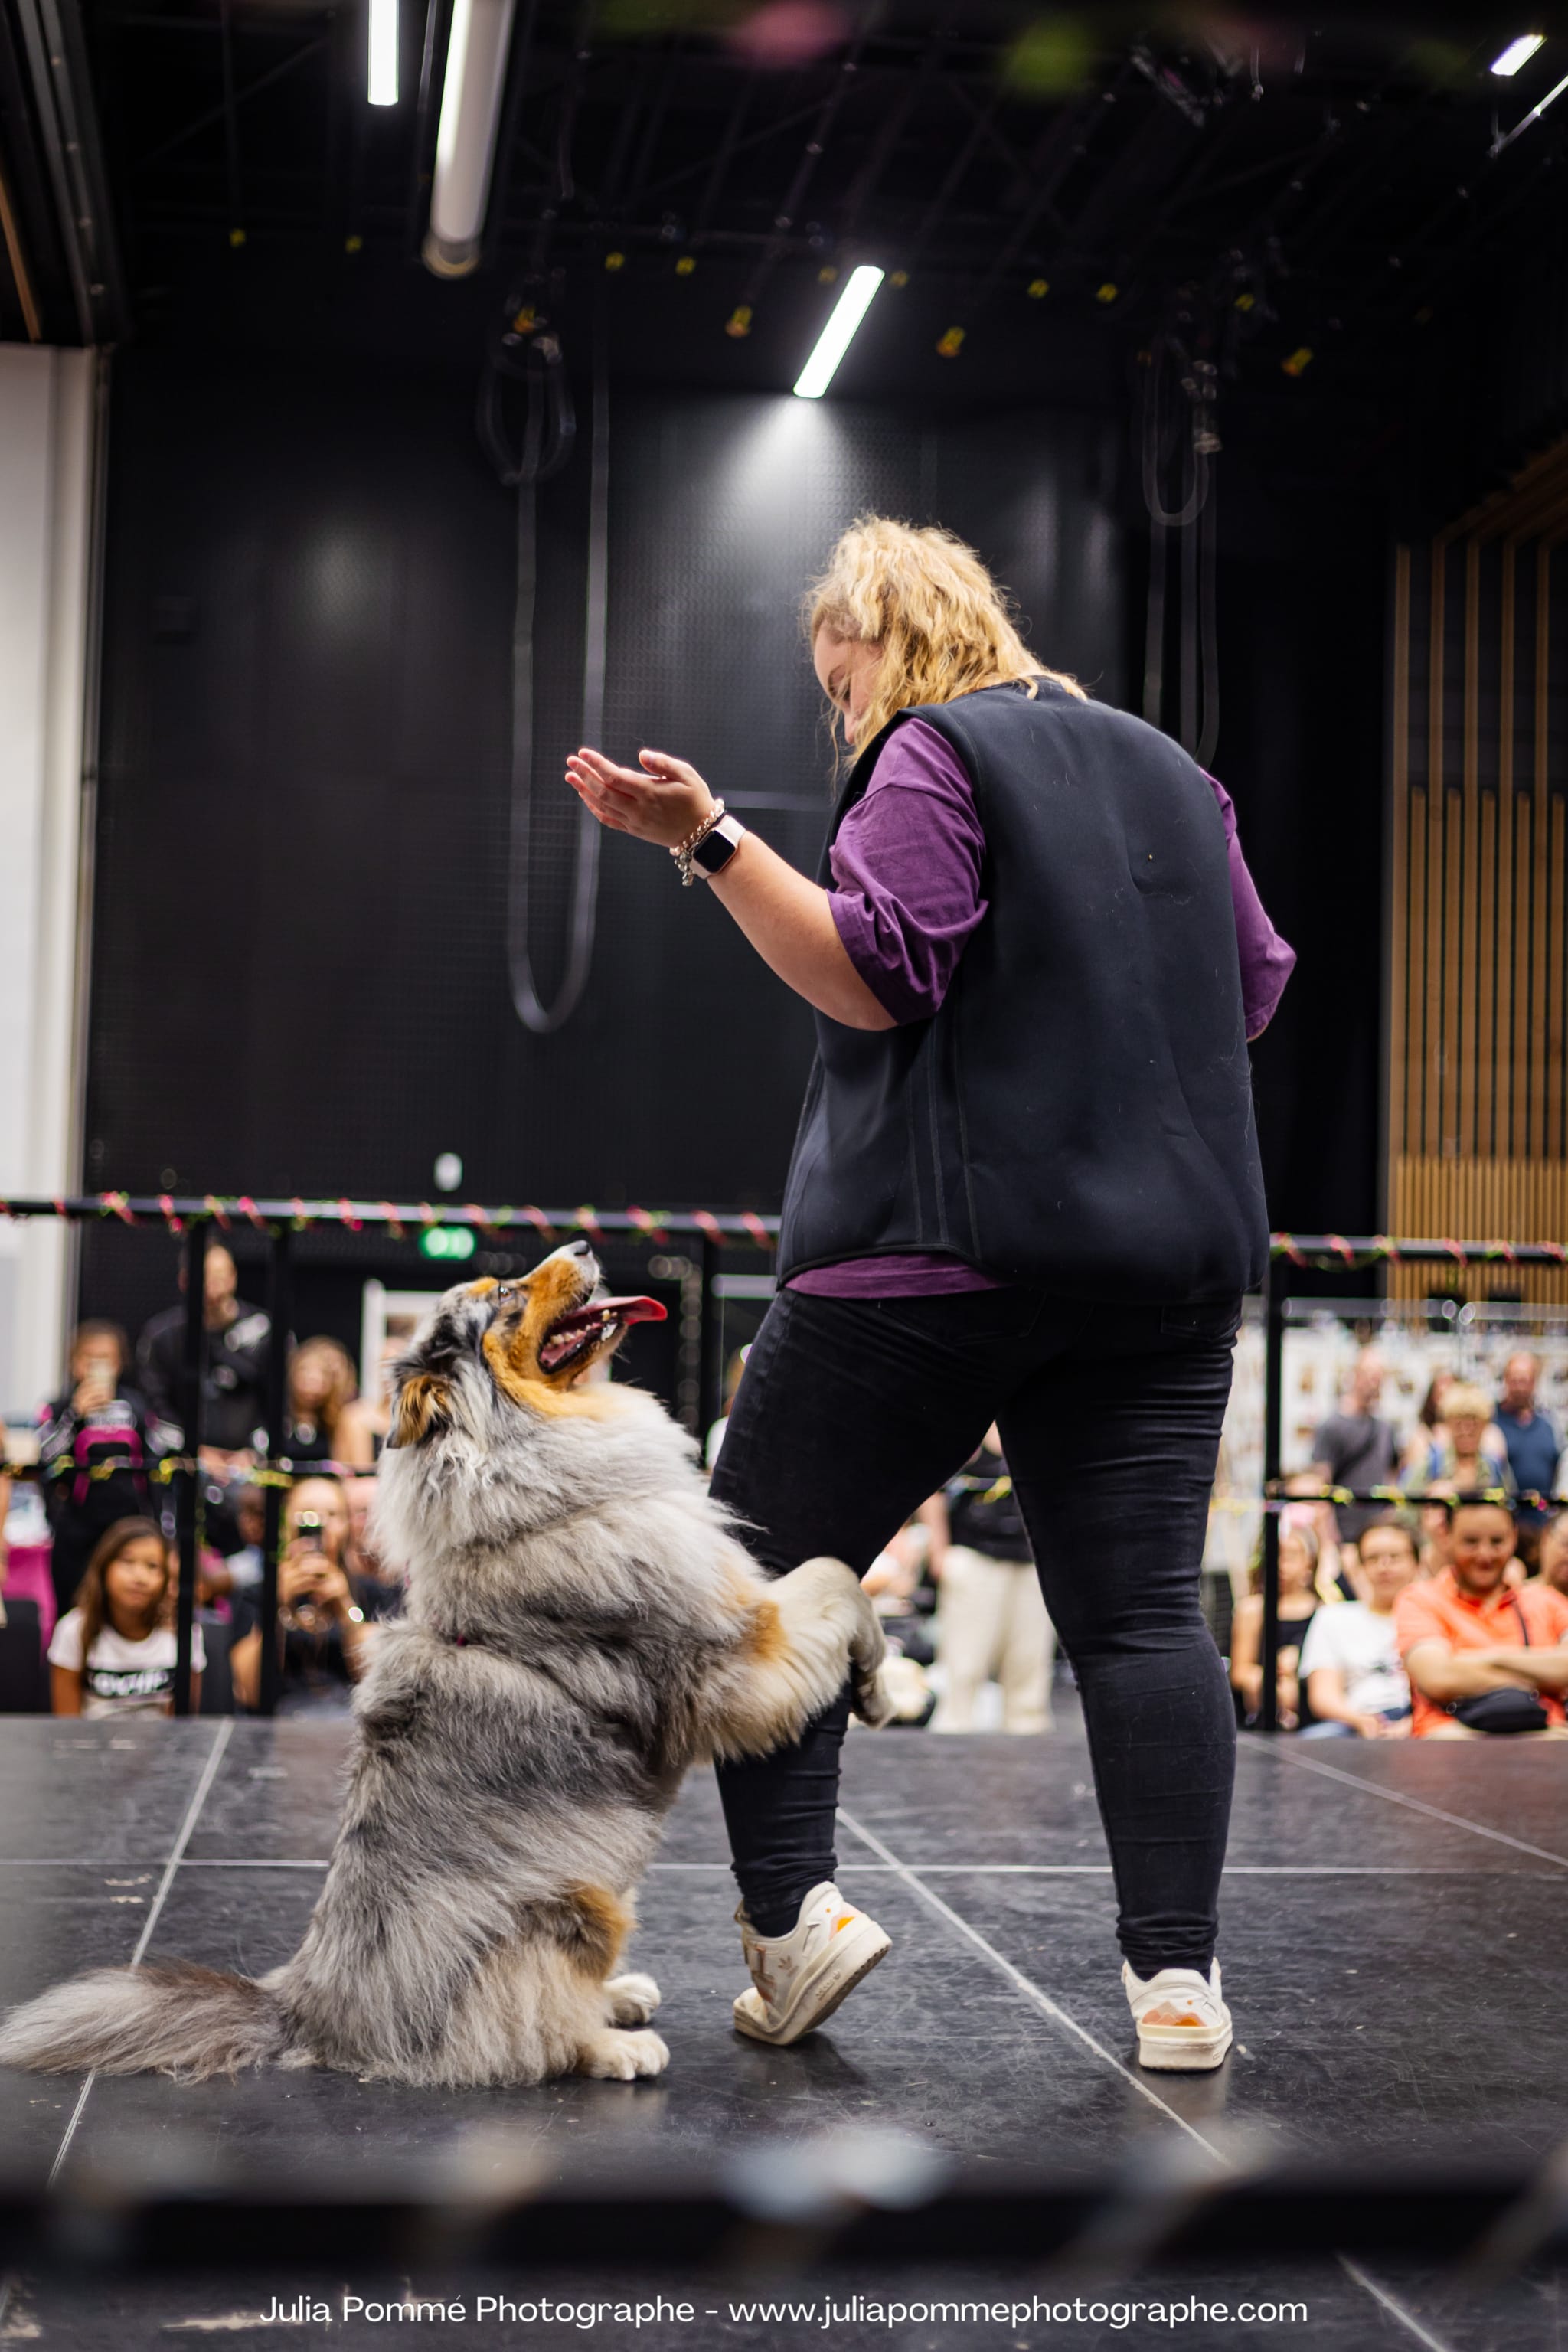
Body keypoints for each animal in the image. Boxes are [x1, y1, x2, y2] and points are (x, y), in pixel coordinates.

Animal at [0, 1242, 884, 2088]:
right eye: (505, 1297)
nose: (586, 1244)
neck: (531, 1470)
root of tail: (310, 2009)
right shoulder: (733, 1655)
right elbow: (835, 1576)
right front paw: (875, 1677)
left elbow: (833, 1577)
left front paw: (879, 1680)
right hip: (575, 1904)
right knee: (522, 2036)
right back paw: (611, 2046)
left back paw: (619, 1996)